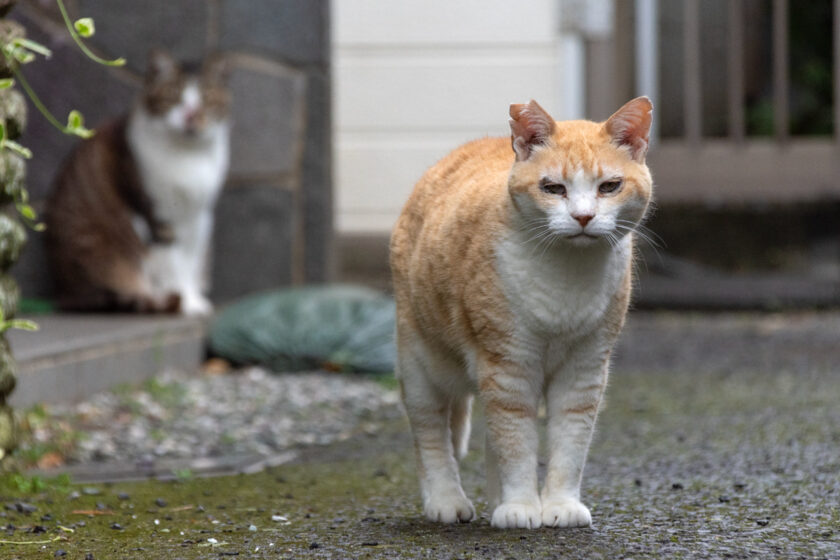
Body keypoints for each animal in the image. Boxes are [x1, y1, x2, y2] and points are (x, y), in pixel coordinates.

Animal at [45, 49, 230, 316]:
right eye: (173, 96)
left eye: (206, 98)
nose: (191, 115)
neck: (188, 155)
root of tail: (66, 294)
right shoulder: (155, 215)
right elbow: (173, 264)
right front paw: (185, 302)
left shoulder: (200, 216)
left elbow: (190, 260)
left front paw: (194, 300)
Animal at [390, 97, 652, 528]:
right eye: (553, 188)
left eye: (609, 187)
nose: (583, 217)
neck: (567, 274)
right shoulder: (508, 364)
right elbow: (515, 442)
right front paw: (520, 506)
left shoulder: (583, 370)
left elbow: (568, 444)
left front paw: (558, 506)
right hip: (422, 366)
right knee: (431, 436)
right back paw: (446, 500)